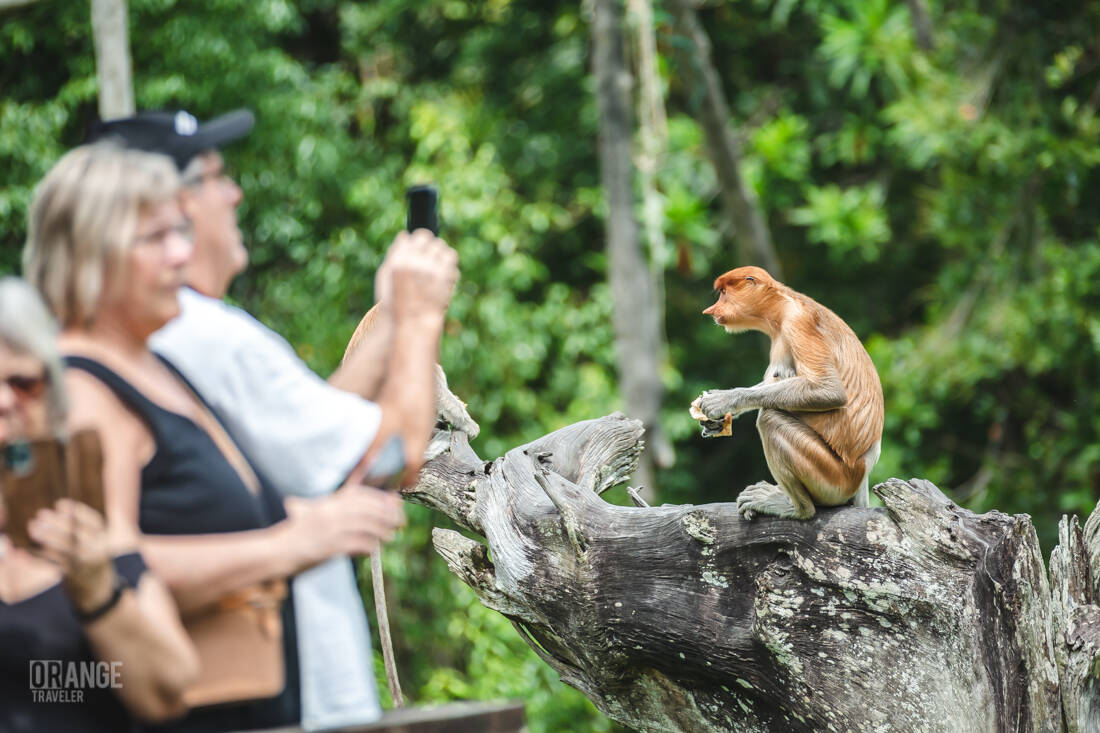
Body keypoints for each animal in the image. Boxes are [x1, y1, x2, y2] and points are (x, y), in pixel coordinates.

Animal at [690, 266, 883, 521]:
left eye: (723, 293)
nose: (711, 310)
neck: (780, 306)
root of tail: (863, 470)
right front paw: (716, 420)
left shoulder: (797, 322)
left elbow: (828, 389)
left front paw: (722, 401)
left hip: (834, 478)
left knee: (770, 418)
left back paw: (796, 508)